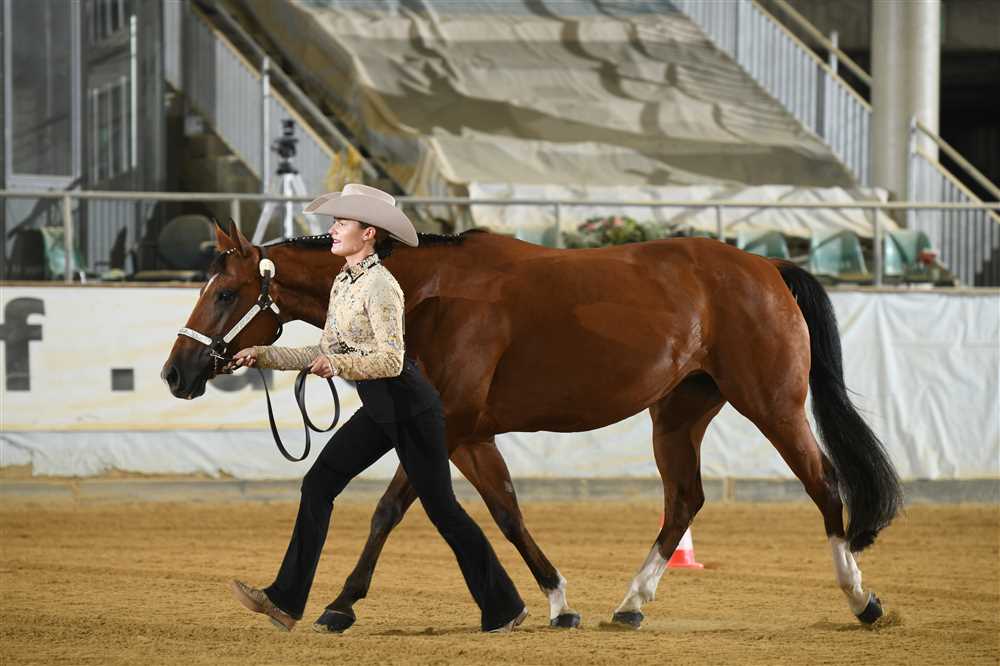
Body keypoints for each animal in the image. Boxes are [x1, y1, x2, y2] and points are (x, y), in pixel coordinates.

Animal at [162, 219, 901, 631]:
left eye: (225, 292)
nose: (176, 373)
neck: (425, 292)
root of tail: (767, 266)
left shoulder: (444, 425)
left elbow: (391, 511)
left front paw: (341, 604)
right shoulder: (467, 435)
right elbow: (506, 512)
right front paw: (554, 601)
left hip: (773, 403)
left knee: (824, 485)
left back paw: (861, 600)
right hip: (678, 414)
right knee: (684, 500)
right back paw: (630, 604)